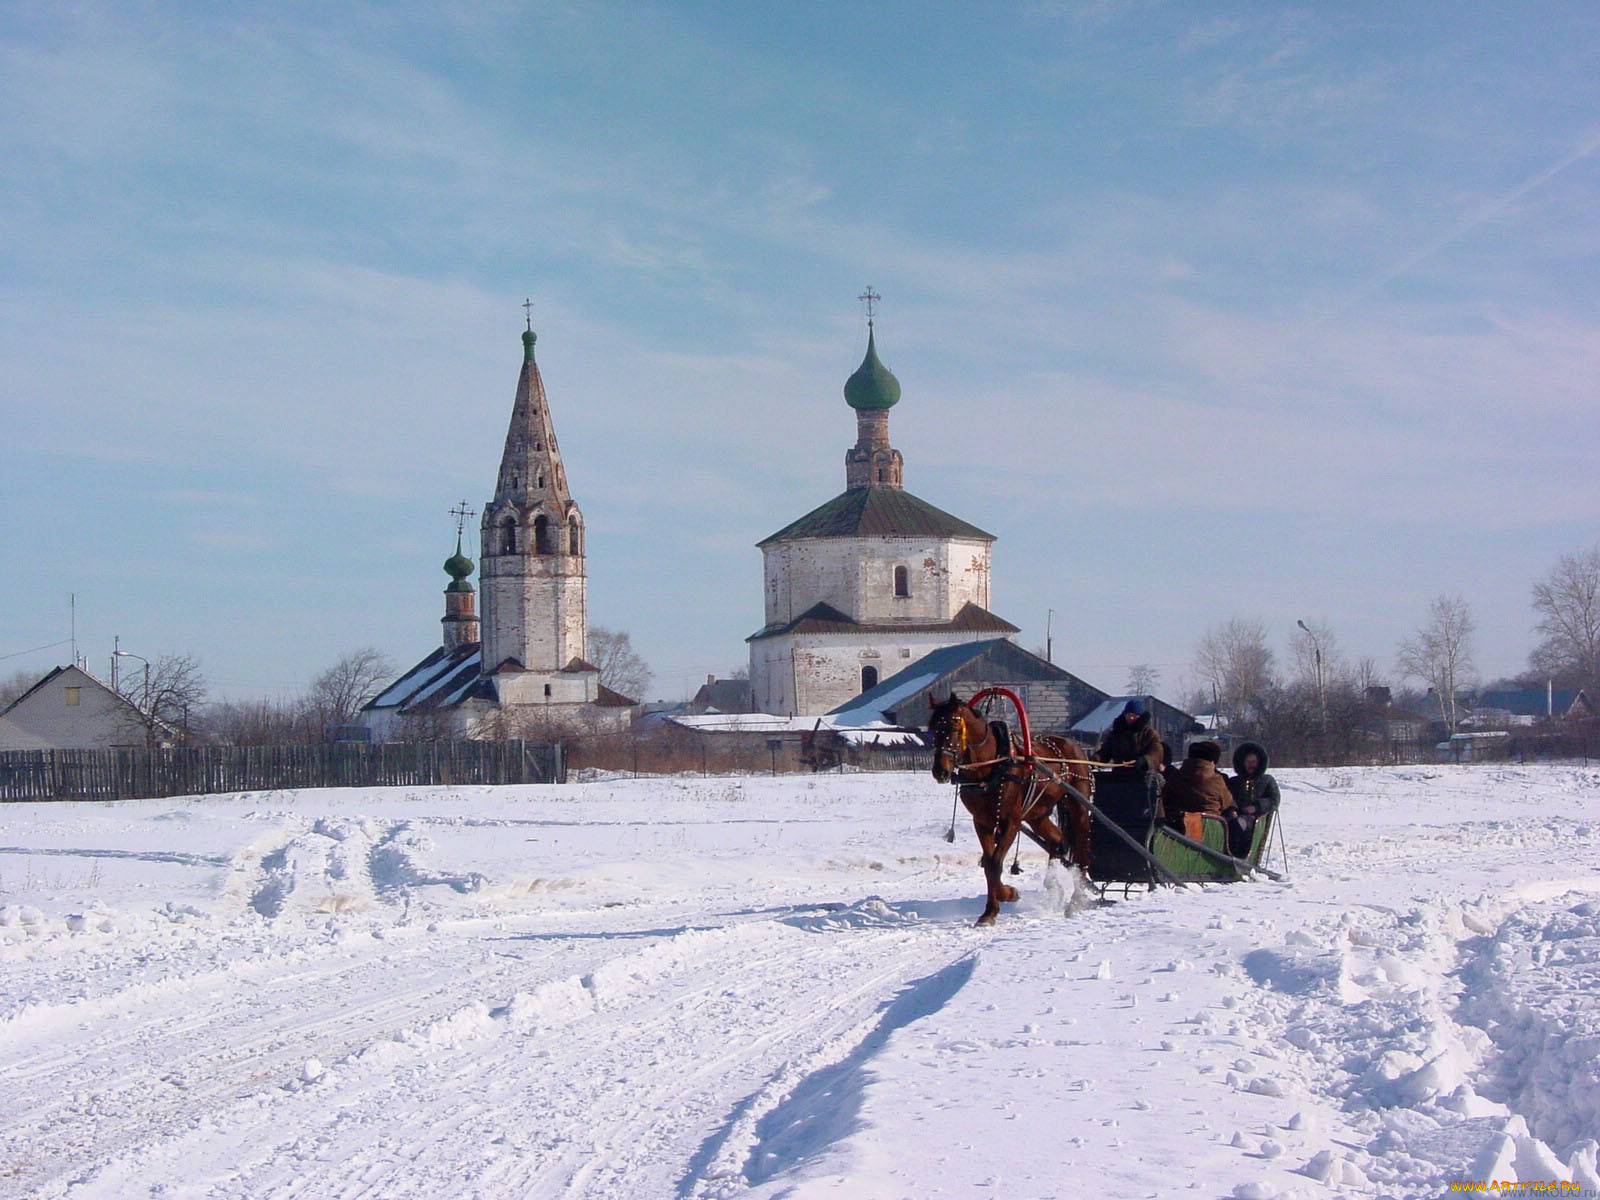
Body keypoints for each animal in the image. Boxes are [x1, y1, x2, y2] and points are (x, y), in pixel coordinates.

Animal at [928, 694, 1100, 928]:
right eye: (933, 729)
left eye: (954, 727)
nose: (940, 771)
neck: (992, 766)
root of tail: (1073, 745)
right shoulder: (982, 822)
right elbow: (989, 864)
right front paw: (990, 911)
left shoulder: (1011, 822)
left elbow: (995, 863)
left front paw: (1008, 894)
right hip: (1038, 814)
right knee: (1058, 841)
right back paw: (1053, 887)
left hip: (1079, 806)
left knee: (1081, 852)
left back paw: (1076, 900)